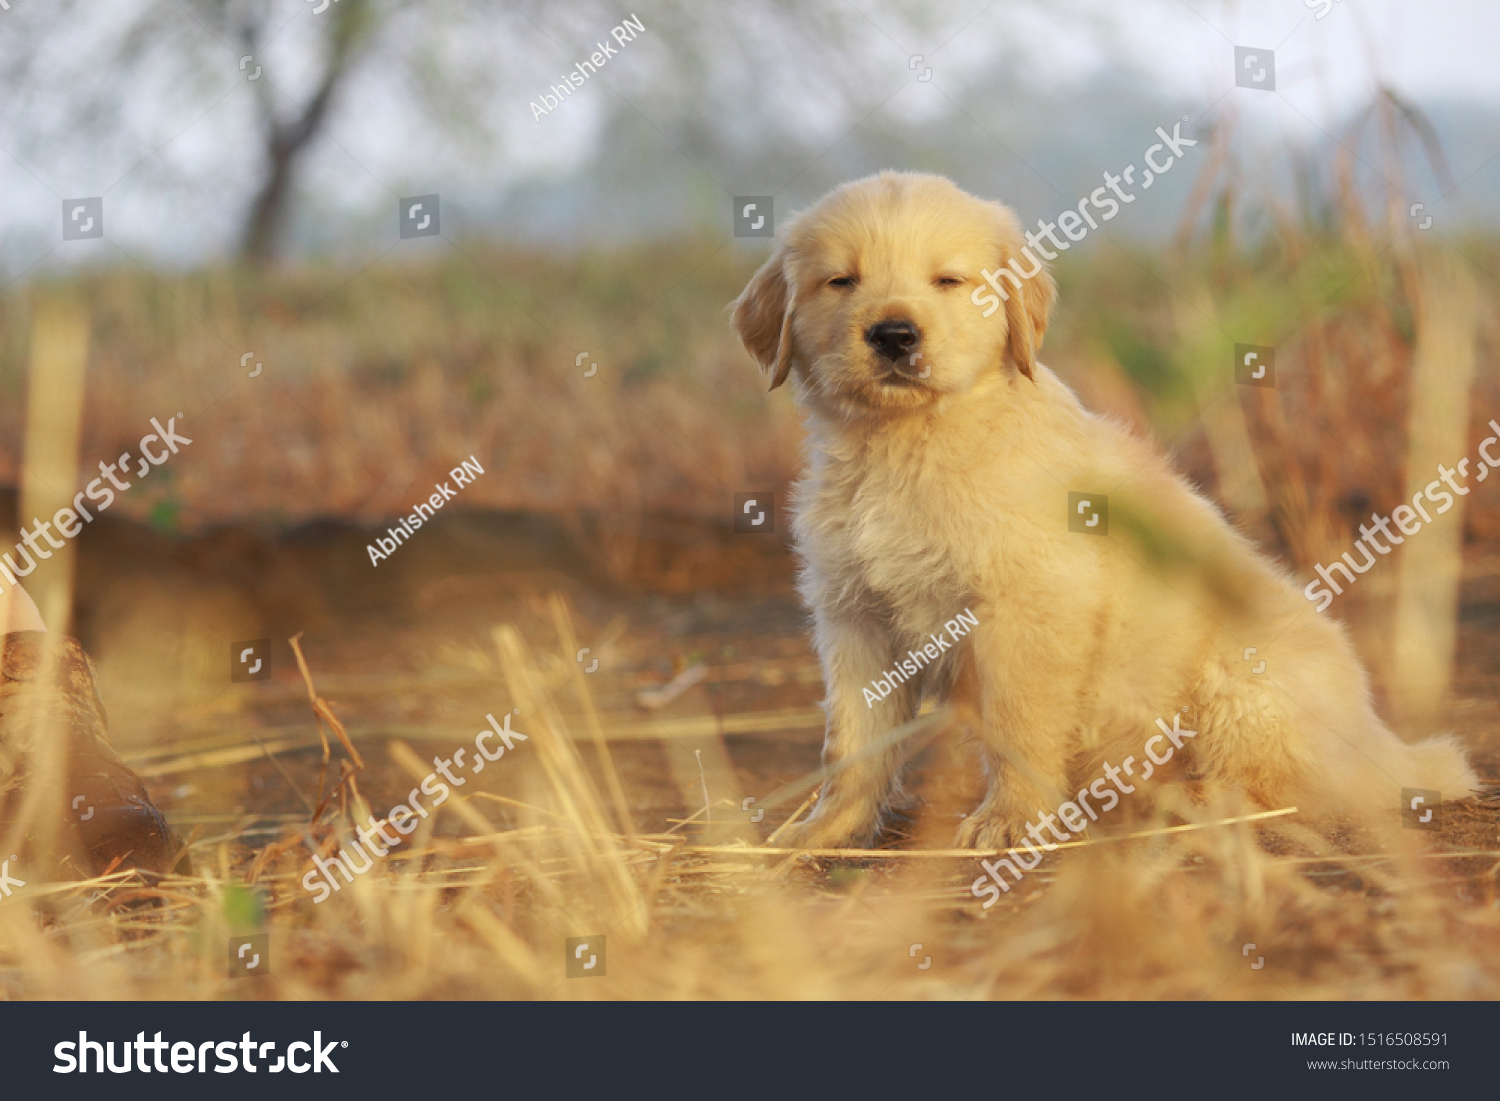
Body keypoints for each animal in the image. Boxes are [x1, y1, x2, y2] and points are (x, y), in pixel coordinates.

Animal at [732, 170, 1482, 852]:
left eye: (948, 280)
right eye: (841, 281)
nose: (893, 335)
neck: (908, 444)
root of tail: (1383, 746)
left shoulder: (1029, 607)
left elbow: (1019, 723)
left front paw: (1011, 821)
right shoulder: (855, 615)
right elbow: (851, 740)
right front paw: (824, 828)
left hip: (1241, 679)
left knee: (1289, 788)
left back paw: (1184, 799)